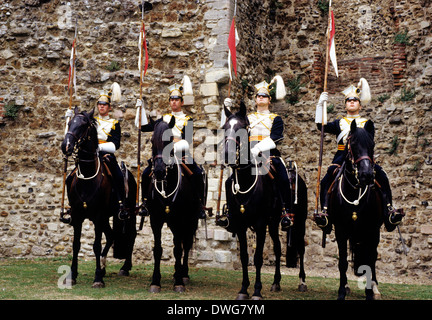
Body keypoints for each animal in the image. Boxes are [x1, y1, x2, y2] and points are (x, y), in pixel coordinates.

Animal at [60, 107, 137, 288]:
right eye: (70, 123)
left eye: (83, 125)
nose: (66, 146)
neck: (87, 178)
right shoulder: (78, 216)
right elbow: (76, 245)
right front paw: (73, 275)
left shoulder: (97, 216)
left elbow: (95, 245)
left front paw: (97, 279)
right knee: (111, 236)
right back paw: (103, 267)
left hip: (128, 213)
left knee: (131, 235)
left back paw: (125, 267)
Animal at [144, 115, 200, 292]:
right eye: (151, 140)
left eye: (169, 140)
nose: (159, 171)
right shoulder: (155, 220)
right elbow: (158, 249)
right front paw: (155, 281)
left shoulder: (181, 219)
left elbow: (178, 249)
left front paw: (179, 282)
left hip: (191, 220)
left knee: (185, 245)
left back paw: (183, 274)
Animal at [221, 103, 308, 300]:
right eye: (225, 128)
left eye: (242, 128)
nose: (228, 155)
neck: (246, 181)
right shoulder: (240, 225)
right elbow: (245, 257)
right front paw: (243, 289)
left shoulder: (260, 224)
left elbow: (258, 258)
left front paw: (256, 291)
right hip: (274, 223)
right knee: (277, 247)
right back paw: (276, 282)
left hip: (299, 221)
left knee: (300, 247)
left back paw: (302, 281)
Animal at [326, 119, 384, 298]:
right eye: (353, 144)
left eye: (372, 144)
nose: (367, 175)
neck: (353, 194)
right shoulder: (341, 230)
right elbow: (343, 262)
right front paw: (341, 291)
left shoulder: (371, 230)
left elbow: (370, 259)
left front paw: (370, 292)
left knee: (372, 258)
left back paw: (375, 287)